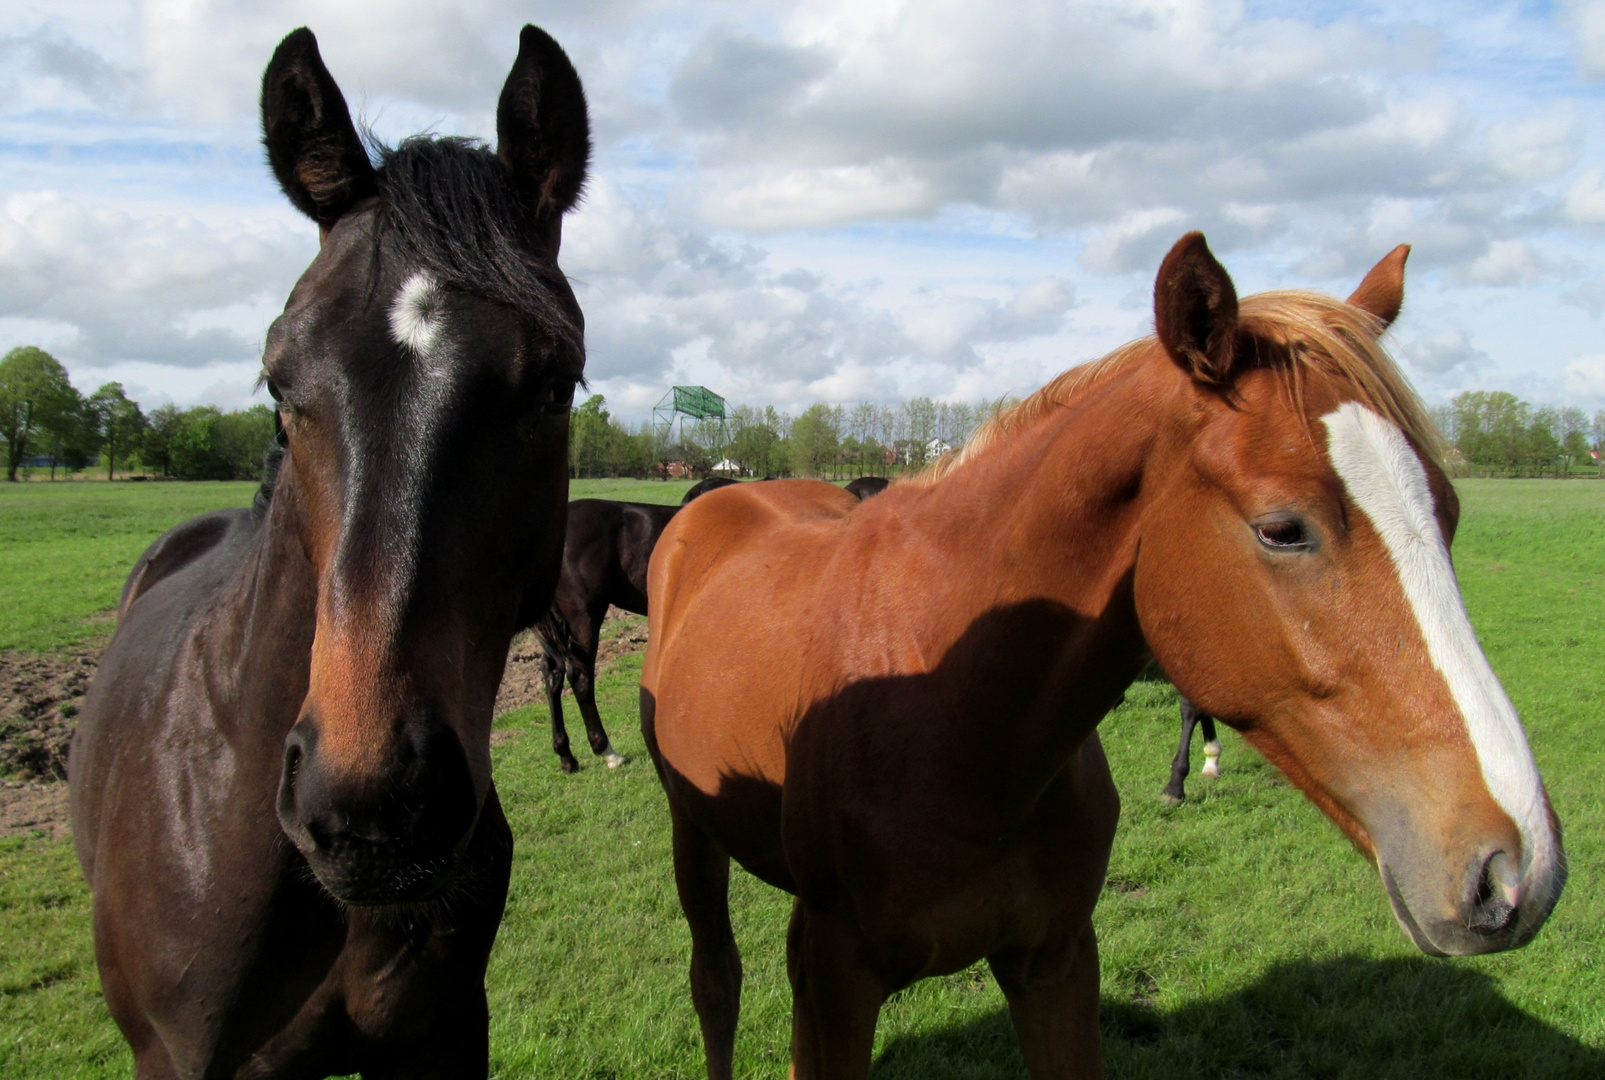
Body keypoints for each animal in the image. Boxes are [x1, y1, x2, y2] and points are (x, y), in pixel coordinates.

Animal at [642, 235, 1566, 1078]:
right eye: (1282, 529)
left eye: (1448, 511)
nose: (1515, 872)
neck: (957, 721)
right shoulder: (829, 980)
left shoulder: (1054, 965)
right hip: (694, 833)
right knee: (715, 984)